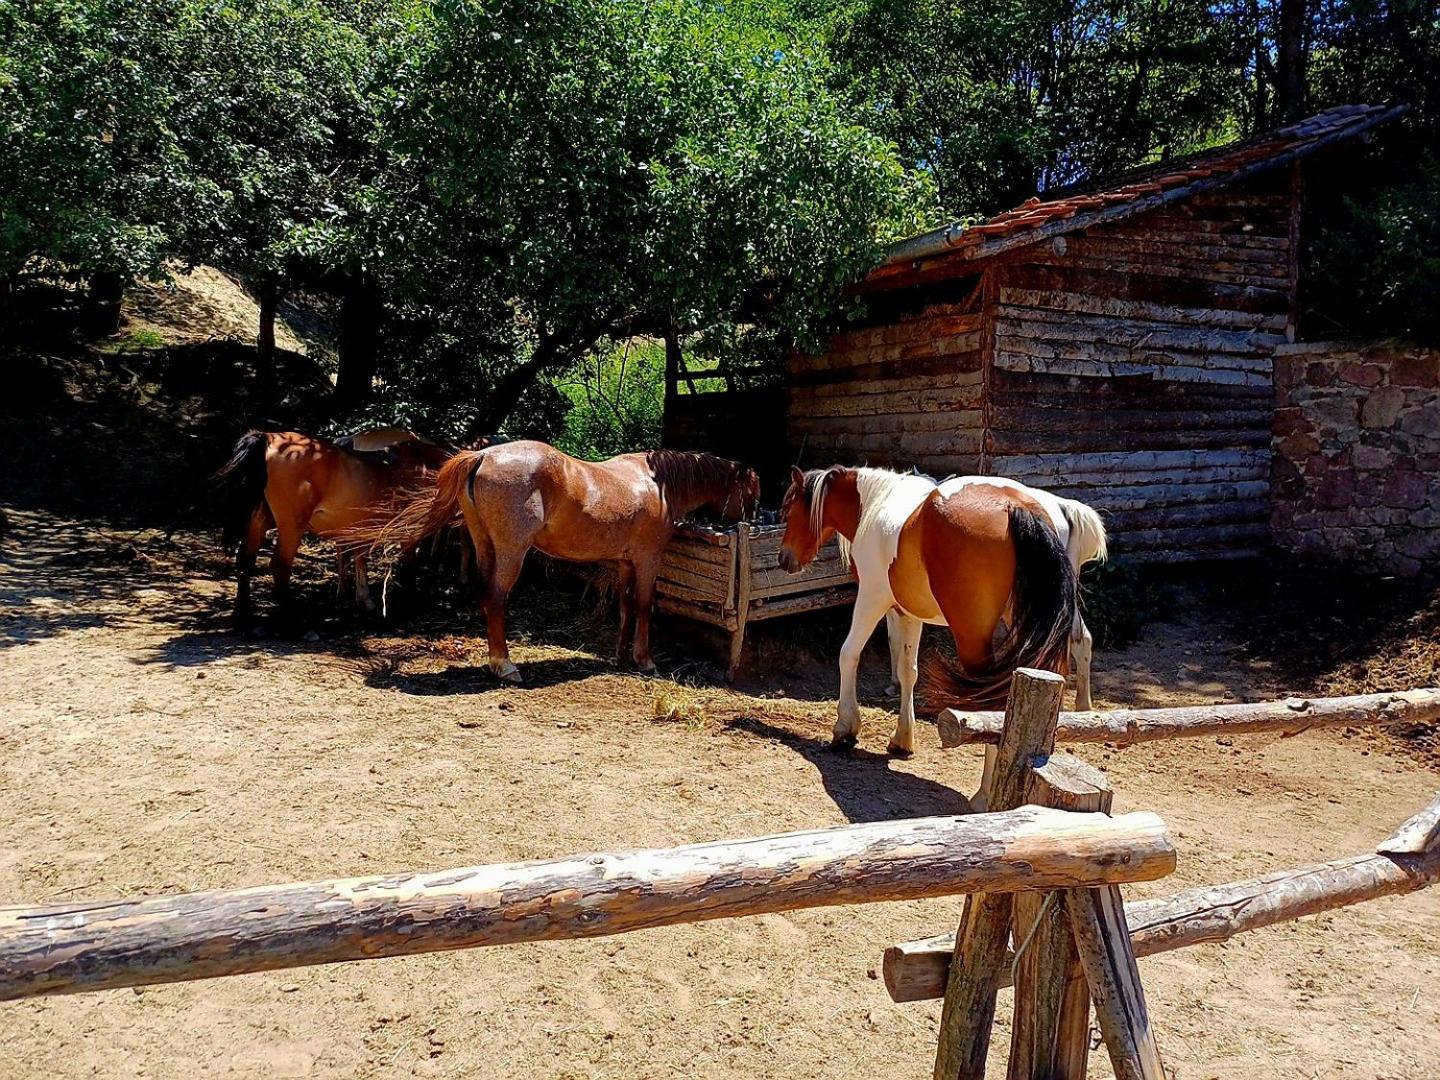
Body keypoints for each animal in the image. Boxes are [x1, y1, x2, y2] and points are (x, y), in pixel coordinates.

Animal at [211, 429, 449, 622]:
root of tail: (268, 438)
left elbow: (359, 559)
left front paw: (362, 600)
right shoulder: (410, 532)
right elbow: (407, 566)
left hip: (259, 521)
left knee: (245, 561)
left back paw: (243, 615)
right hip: (292, 526)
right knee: (280, 566)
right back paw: (290, 619)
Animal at [365, 440, 760, 685]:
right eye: (752, 491)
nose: (755, 520)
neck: (655, 483)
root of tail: (483, 456)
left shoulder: (625, 563)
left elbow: (626, 605)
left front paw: (620, 656)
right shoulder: (648, 560)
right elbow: (645, 606)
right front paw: (645, 660)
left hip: (484, 547)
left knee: (485, 596)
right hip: (512, 553)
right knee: (495, 599)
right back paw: (505, 666)